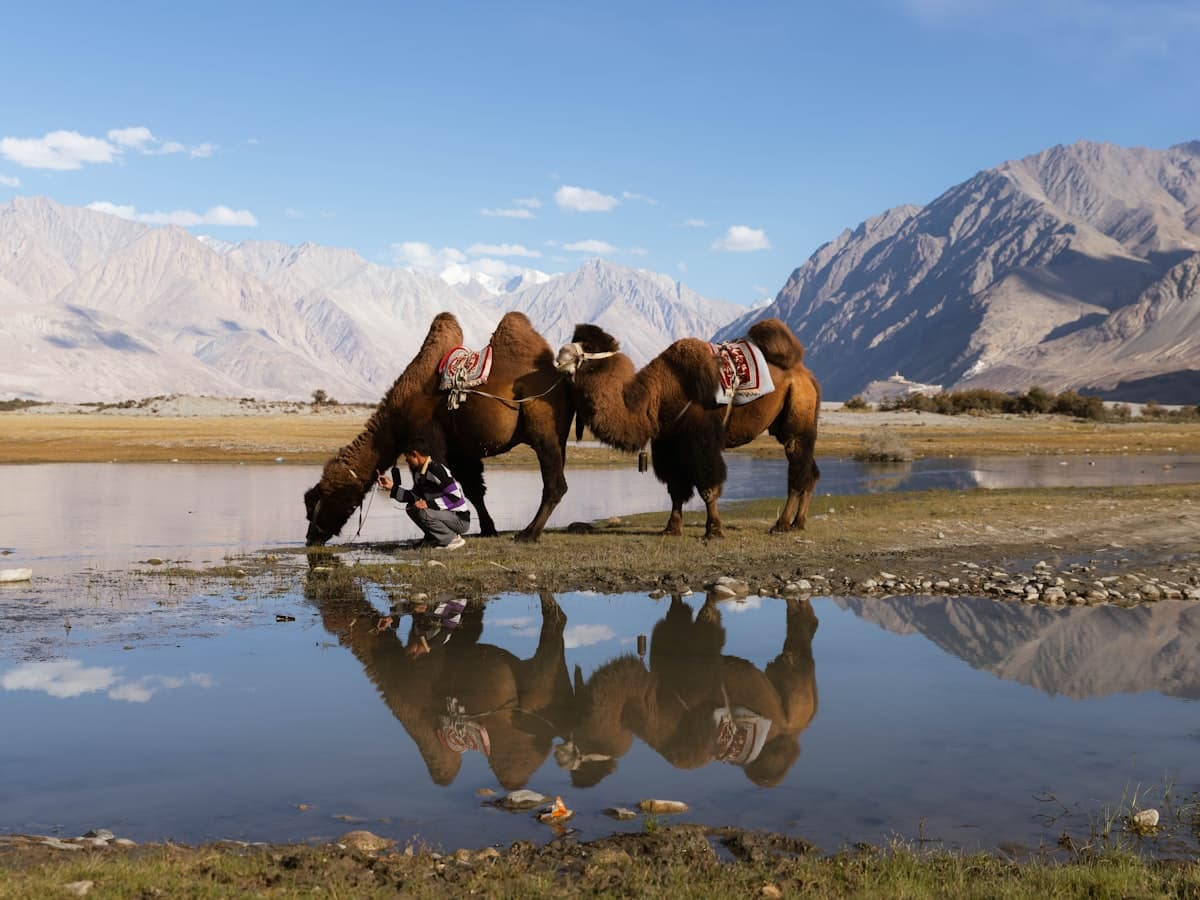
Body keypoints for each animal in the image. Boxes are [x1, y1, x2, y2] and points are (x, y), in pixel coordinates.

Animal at [304, 311, 572, 545]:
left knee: (554, 483)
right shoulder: (460, 449)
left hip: (543, 425)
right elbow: (473, 490)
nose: (311, 537)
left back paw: (528, 534)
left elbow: (429, 487)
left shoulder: (427, 437)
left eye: (318, 502)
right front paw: (488, 529)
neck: (396, 416)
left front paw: (427, 536)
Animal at [555, 318, 820, 538]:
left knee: (797, 469)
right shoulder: (668, 444)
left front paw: (714, 530)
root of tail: (805, 373)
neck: (657, 397)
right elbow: (676, 488)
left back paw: (782, 524)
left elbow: (708, 485)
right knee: (810, 470)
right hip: (787, 421)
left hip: (798, 416)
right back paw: (799, 523)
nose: (560, 355)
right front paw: (671, 528)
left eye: (589, 345)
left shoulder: (701, 441)